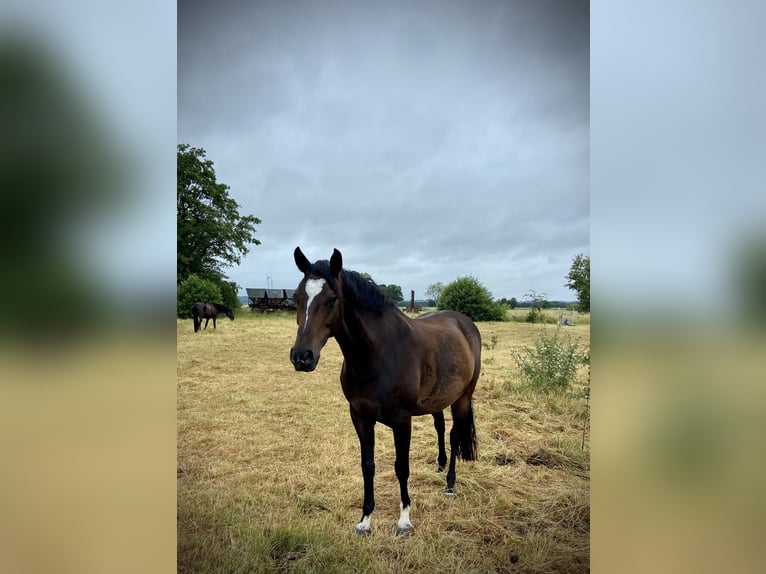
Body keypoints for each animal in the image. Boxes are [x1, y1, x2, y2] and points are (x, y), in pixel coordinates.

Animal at [292, 248, 484, 540]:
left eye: (333, 299)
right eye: (296, 297)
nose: (302, 357)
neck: (377, 354)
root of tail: (464, 323)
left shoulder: (401, 421)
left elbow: (401, 467)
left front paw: (404, 521)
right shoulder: (360, 417)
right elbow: (367, 465)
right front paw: (365, 520)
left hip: (462, 398)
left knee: (454, 436)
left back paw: (450, 484)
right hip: (438, 398)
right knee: (440, 426)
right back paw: (439, 465)